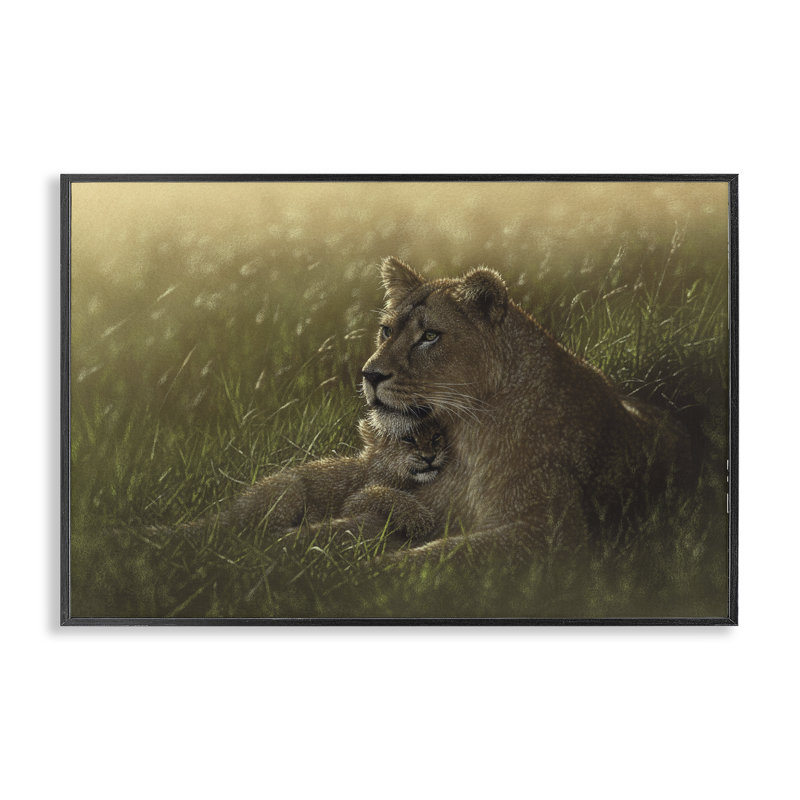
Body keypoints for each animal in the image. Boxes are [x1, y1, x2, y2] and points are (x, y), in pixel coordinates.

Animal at [358, 256, 689, 563]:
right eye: (386, 331)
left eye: (429, 336)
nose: (370, 375)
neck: (466, 436)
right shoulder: (431, 504)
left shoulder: (552, 531)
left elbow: (439, 555)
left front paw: (366, 571)